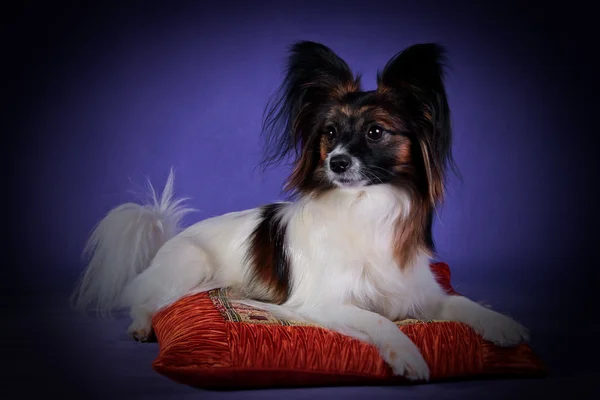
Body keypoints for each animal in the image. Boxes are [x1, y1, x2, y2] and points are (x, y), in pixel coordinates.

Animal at [71, 40, 528, 382]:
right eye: (329, 133)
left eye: (375, 132)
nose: (336, 162)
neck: (365, 207)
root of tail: (169, 239)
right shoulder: (323, 304)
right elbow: (379, 321)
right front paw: (409, 355)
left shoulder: (419, 292)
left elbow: (461, 303)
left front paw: (502, 324)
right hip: (189, 266)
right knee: (143, 298)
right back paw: (141, 325)